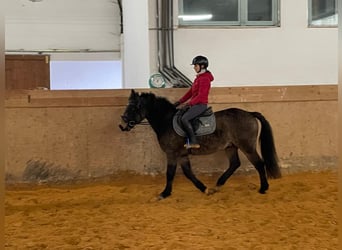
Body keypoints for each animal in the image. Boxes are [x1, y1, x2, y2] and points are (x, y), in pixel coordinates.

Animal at [119, 89, 280, 199]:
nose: (123, 121)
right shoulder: (182, 155)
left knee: (259, 164)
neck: (166, 121)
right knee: (235, 164)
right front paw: (204, 189)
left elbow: (170, 174)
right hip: (230, 146)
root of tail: (250, 114)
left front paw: (164, 194)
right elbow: (188, 173)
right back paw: (218, 185)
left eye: (134, 107)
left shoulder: (172, 154)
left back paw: (263, 188)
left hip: (247, 147)